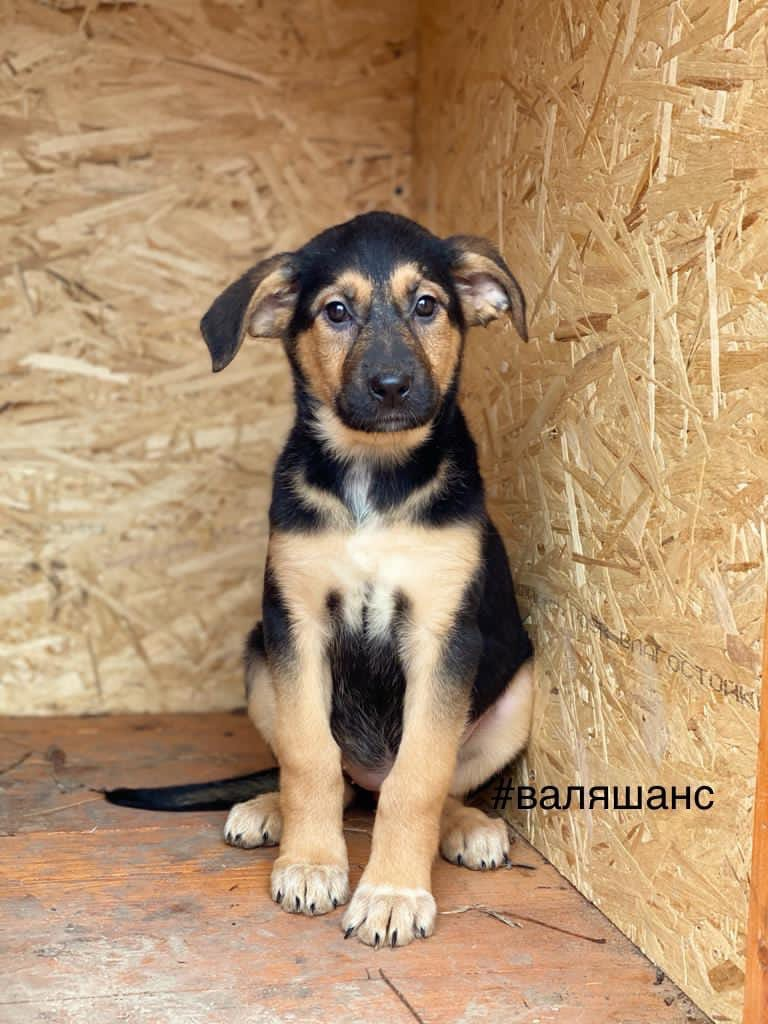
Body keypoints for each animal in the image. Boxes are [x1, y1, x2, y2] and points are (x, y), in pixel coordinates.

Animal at [112, 211, 536, 946]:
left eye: (427, 306)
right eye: (336, 311)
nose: (391, 386)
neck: (373, 474)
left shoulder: (443, 637)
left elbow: (420, 778)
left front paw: (393, 892)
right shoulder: (296, 624)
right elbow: (309, 757)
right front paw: (311, 864)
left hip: (518, 694)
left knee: (424, 781)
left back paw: (466, 826)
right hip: (257, 657)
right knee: (332, 777)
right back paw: (270, 808)